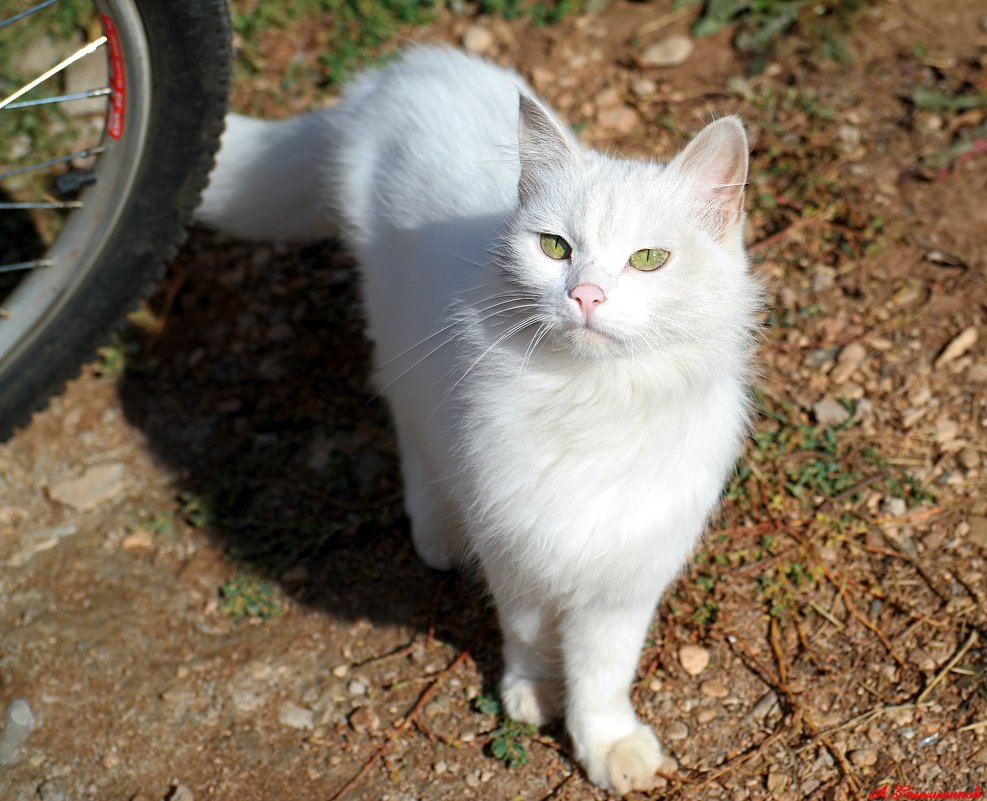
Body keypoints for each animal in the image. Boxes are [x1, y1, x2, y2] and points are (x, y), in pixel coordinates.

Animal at [199, 47, 756, 792]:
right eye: (555, 248)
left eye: (648, 260)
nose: (585, 294)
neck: (591, 402)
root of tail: (402, 69)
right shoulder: (516, 549)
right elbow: (528, 638)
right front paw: (532, 695)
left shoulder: (624, 577)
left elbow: (603, 675)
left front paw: (605, 744)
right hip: (397, 343)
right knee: (412, 436)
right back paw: (437, 533)